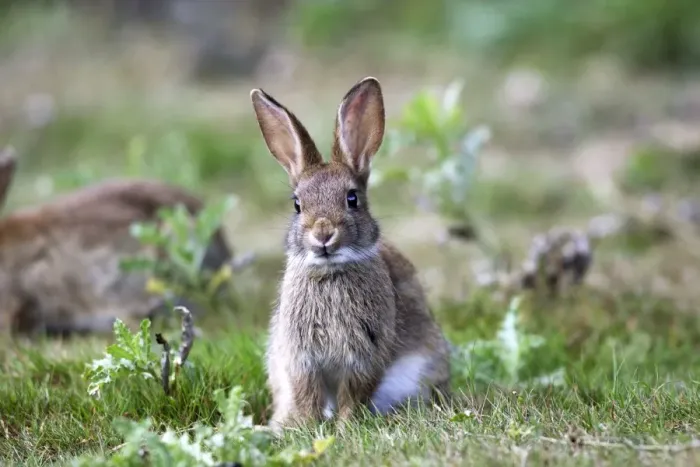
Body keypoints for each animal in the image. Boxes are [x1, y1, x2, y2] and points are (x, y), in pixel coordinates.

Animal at [249, 77, 451, 430]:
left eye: (352, 198)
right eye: (297, 205)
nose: (323, 234)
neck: (330, 272)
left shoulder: (365, 357)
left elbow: (353, 394)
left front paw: (344, 427)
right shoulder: (301, 359)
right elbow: (307, 394)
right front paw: (305, 426)